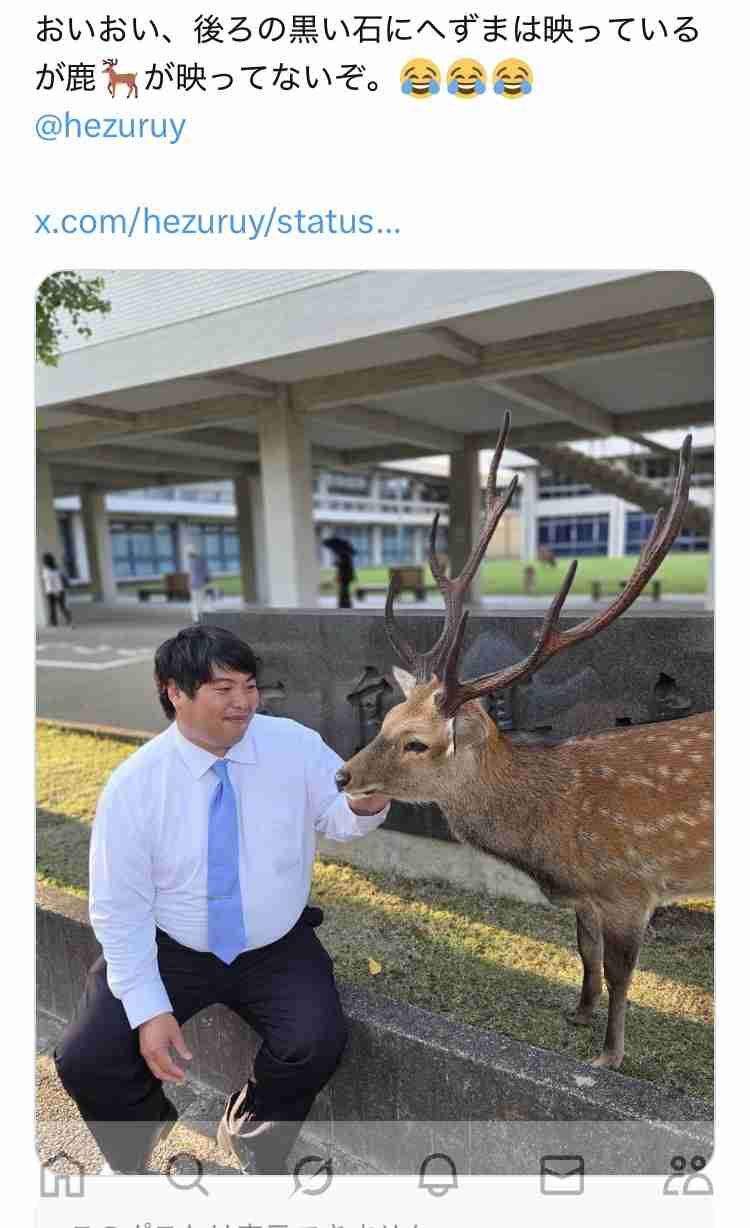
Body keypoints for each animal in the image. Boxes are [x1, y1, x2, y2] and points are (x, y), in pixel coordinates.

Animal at [335, 414, 713, 1071]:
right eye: (384, 719)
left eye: (416, 743)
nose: (342, 775)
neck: (554, 842)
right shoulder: (587, 897)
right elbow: (584, 951)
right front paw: (579, 1012)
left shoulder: (631, 886)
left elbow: (622, 974)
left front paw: (608, 1056)